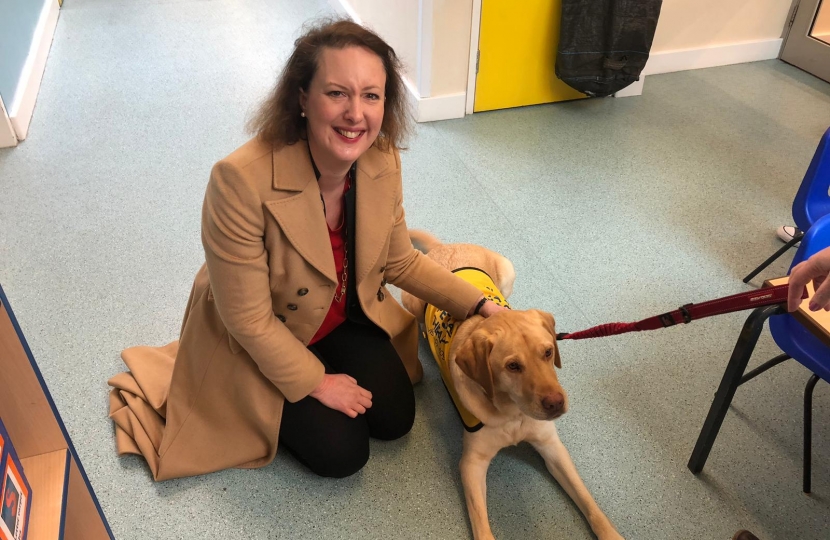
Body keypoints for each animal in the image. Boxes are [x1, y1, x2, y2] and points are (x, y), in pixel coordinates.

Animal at [404, 231, 624, 540]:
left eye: (548, 352)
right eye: (513, 366)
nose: (556, 403)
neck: (514, 414)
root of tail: (445, 247)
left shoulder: (553, 447)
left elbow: (589, 501)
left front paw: (610, 533)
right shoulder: (472, 463)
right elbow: (482, 526)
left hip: (508, 271)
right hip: (412, 299)